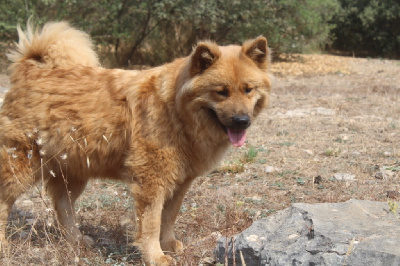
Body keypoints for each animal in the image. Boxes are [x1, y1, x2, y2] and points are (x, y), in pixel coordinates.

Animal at [0, 22, 270, 264]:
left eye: (248, 89)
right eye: (221, 91)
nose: (242, 121)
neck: (175, 109)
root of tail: (30, 69)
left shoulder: (180, 182)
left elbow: (168, 217)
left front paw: (168, 244)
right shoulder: (151, 180)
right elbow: (151, 223)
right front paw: (155, 256)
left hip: (74, 170)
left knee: (62, 206)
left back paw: (76, 240)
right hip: (21, 166)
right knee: (6, 203)